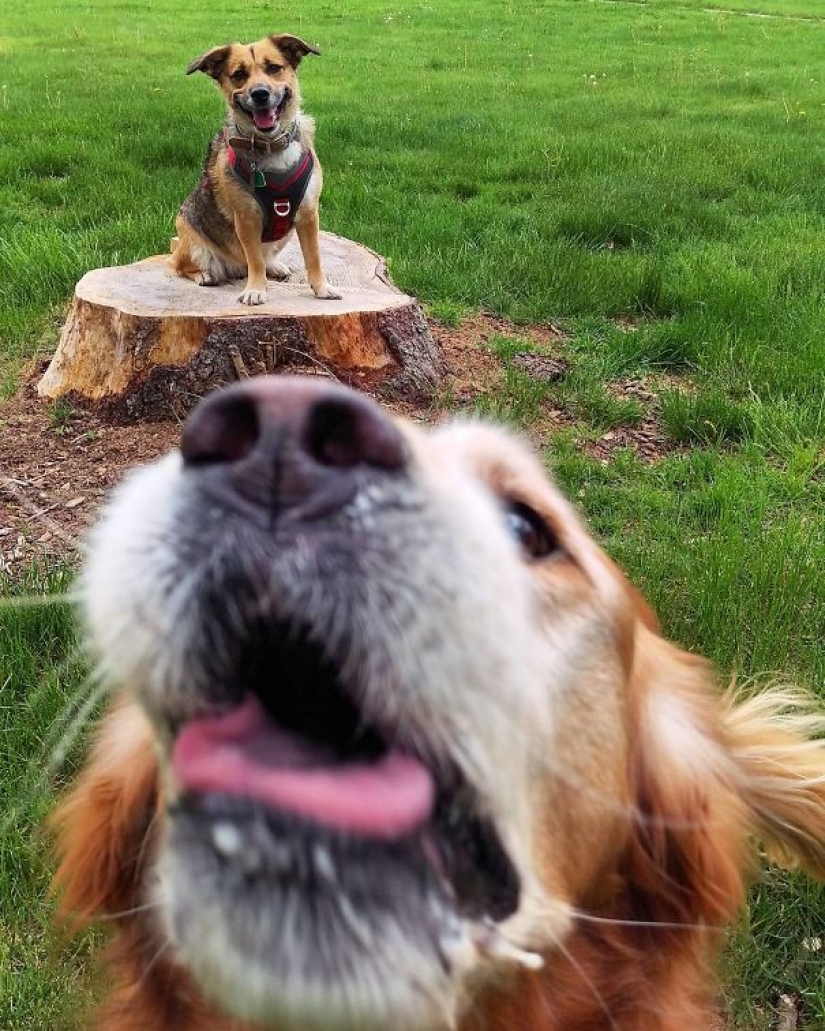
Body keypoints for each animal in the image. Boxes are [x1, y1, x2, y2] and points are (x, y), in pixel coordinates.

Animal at [171, 37, 342, 309]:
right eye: (239, 74)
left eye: (273, 67)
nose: (260, 93)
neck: (270, 145)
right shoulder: (246, 218)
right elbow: (255, 260)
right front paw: (256, 289)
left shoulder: (308, 214)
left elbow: (313, 256)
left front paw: (322, 288)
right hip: (191, 241)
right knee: (179, 265)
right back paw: (204, 275)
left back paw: (275, 267)